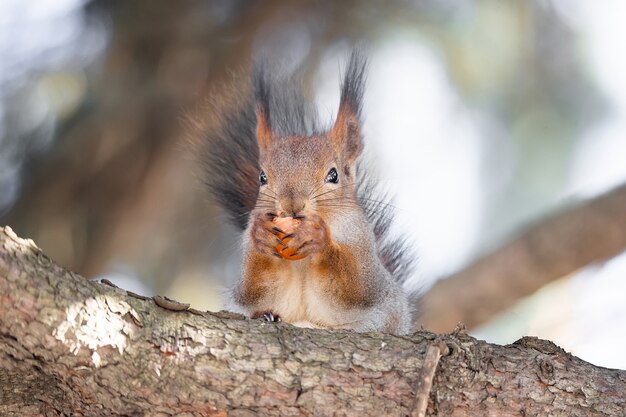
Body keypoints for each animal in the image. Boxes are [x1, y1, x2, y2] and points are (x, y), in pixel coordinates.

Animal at [196, 50, 414, 334]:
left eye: (333, 175)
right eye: (262, 177)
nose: (292, 204)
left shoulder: (366, 255)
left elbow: (355, 286)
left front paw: (318, 238)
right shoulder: (248, 270)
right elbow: (252, 289)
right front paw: (261, 235)